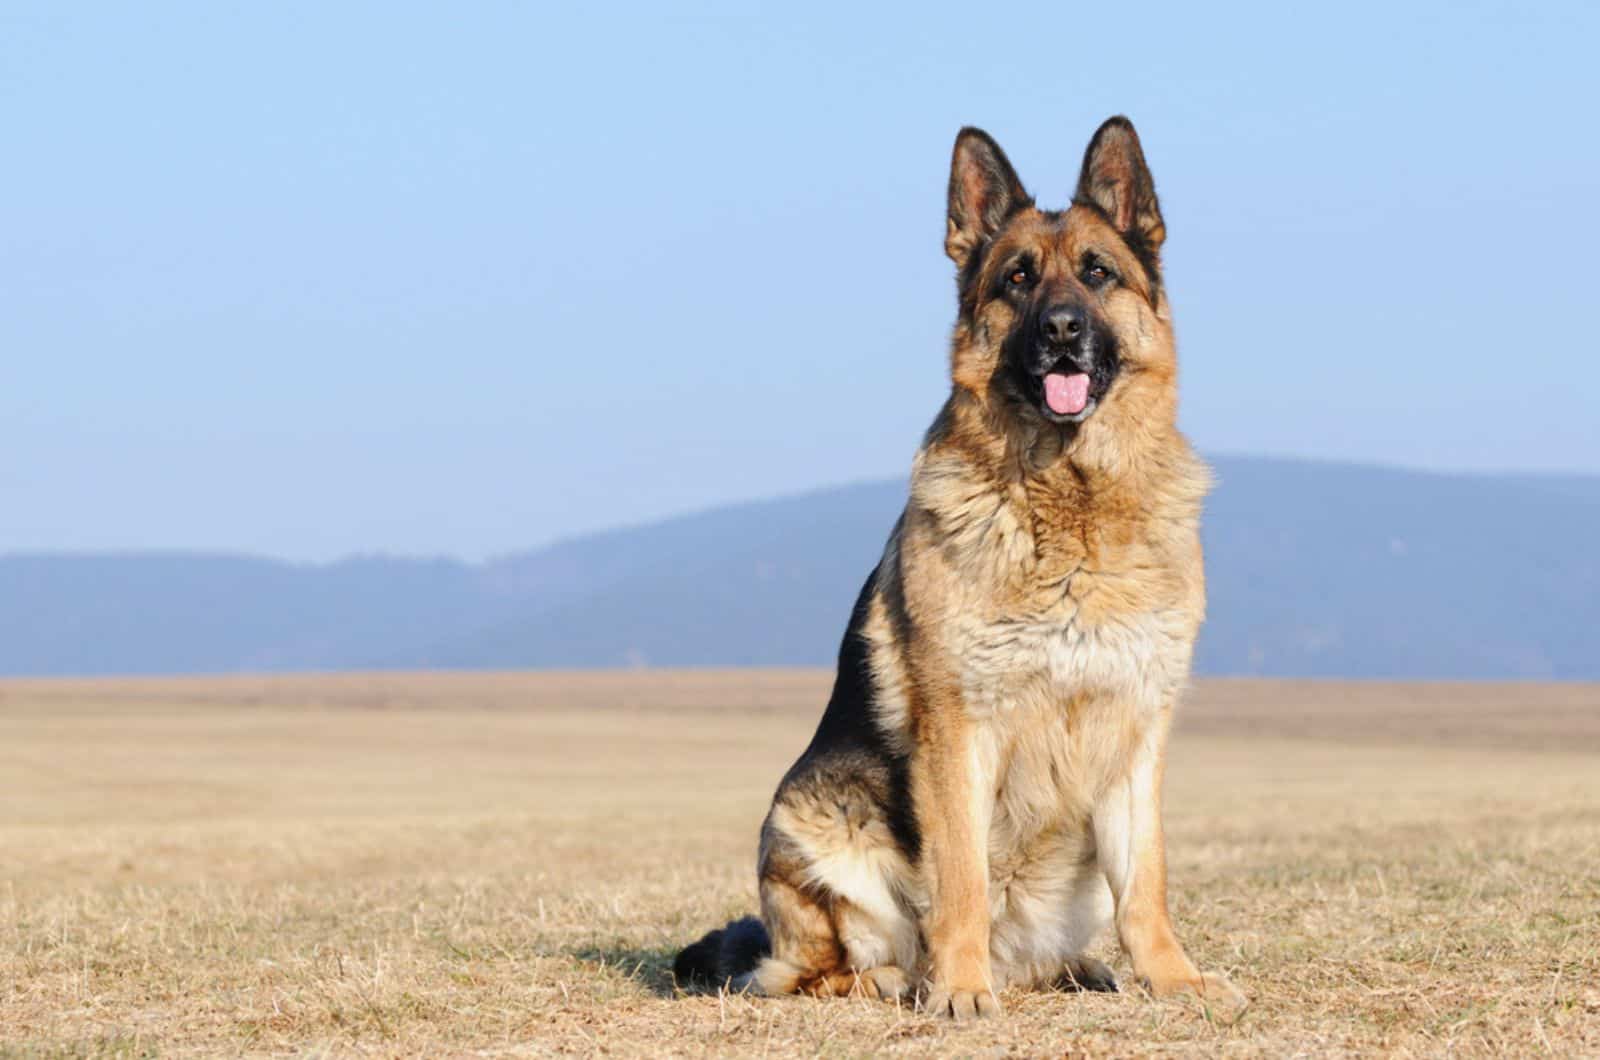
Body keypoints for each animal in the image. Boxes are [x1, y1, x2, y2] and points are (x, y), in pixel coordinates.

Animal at [668, 116, 1241, 1024]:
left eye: (1097, 273)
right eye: (1017, 280)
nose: (1062, 330)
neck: (1069, 502)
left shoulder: (1138, 731)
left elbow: (1147, 882)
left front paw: (1174, 978)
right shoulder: (959, 728)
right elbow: (962, 875)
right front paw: (962, 989)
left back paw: (1070, 969)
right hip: (809, 818)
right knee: (816, 970)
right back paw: (911, 977)